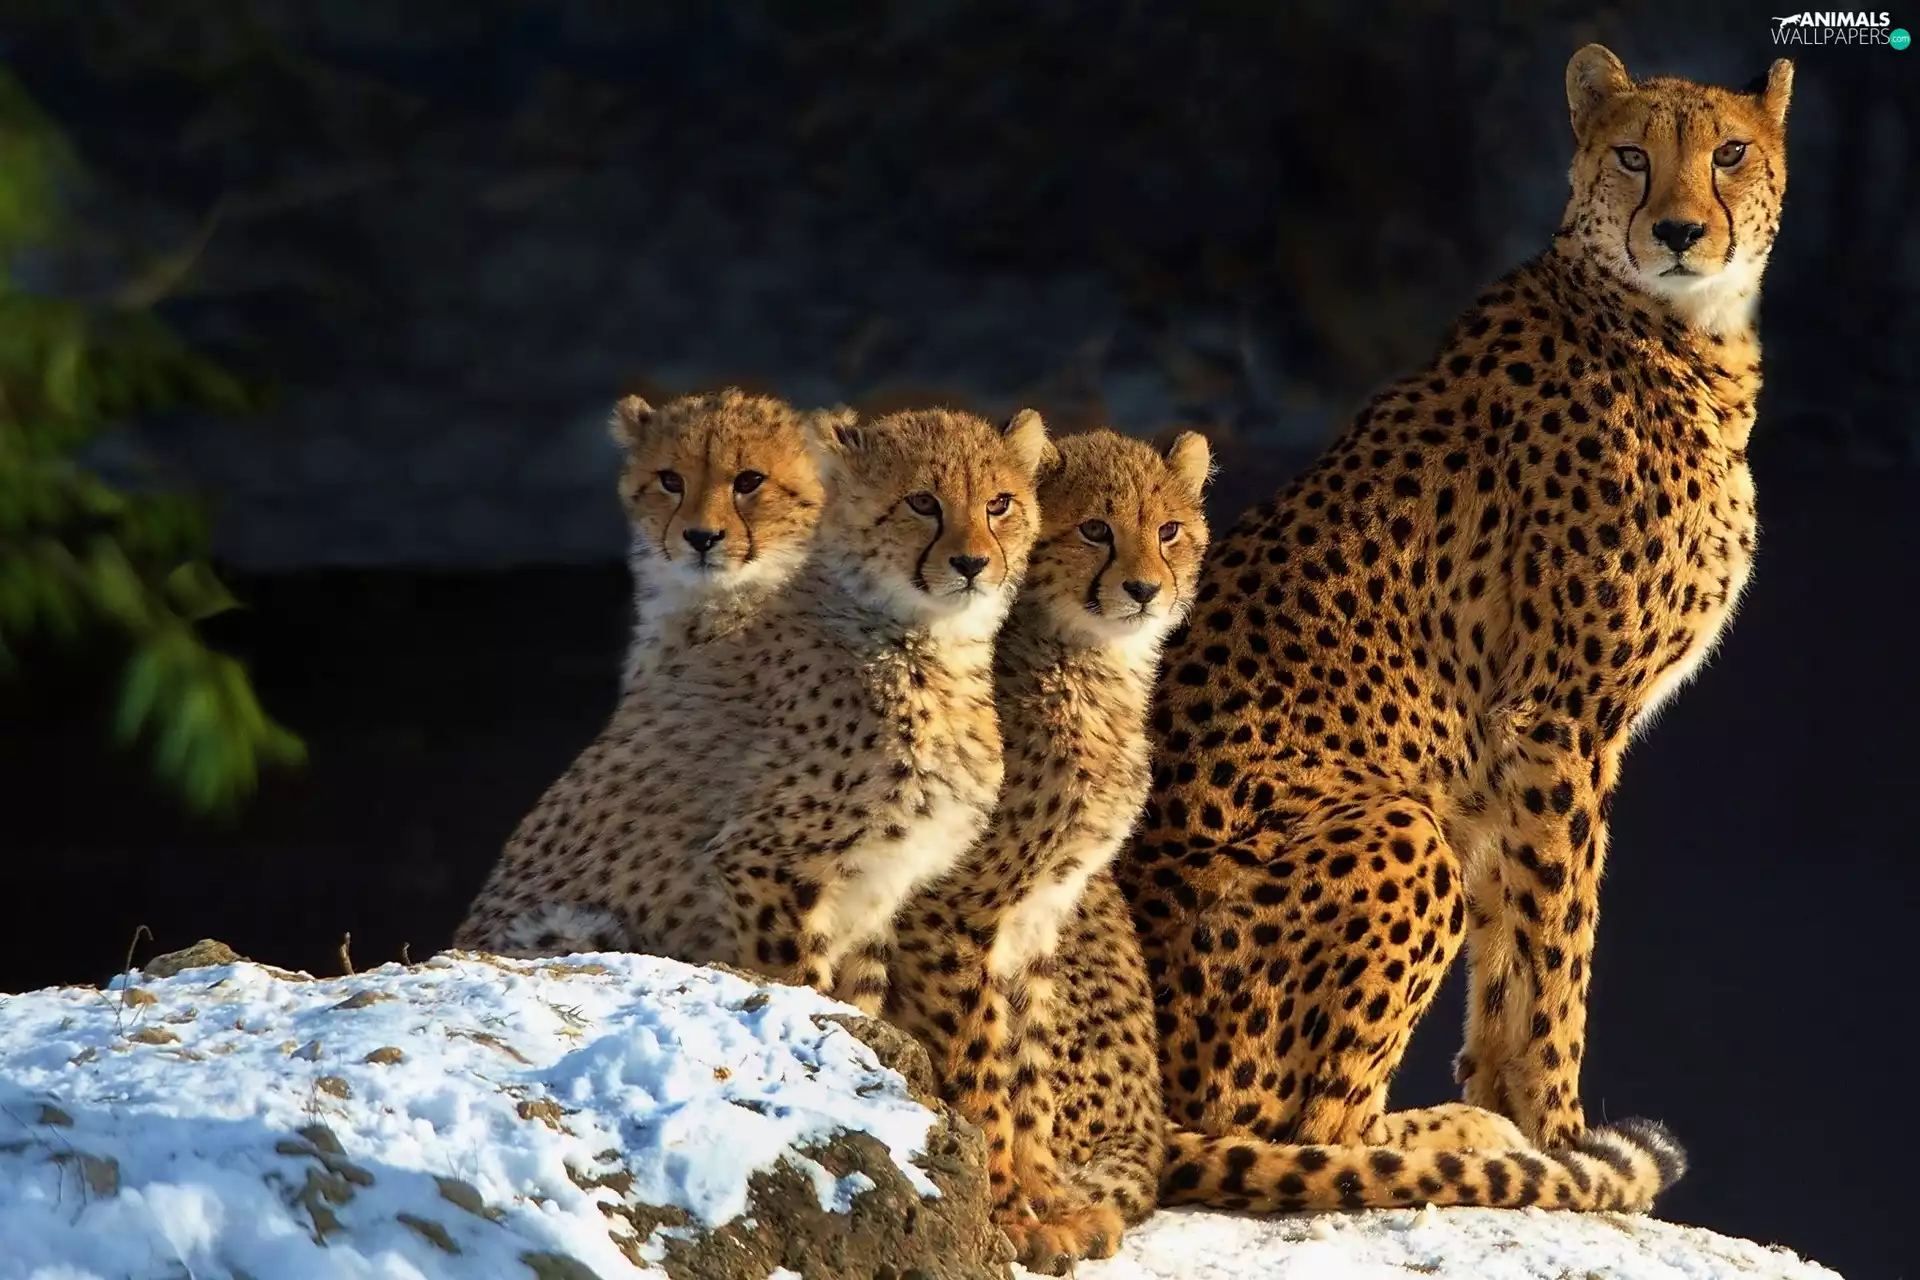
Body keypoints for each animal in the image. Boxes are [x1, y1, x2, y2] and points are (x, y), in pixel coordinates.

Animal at [887, 428, 1211, 1272]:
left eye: (1168, 529)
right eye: (1095, 528)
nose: (1144, 589)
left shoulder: (1037, 920)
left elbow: (1025, 1074)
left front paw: (1048, 1202)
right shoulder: (946, 917)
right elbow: (980, 1071)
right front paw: (1008, 1213)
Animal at [1114, 43, 1793, 1213]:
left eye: (1732, 153)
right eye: (1632, 153)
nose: (1675, 231)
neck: (1677, 329)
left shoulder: (1518, 761)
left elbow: (1512, 951)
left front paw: (1519, 1103)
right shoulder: (1559, 720)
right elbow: (1560, 943)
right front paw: (1557, 1131)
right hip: (1396, 821)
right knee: (1303, 1127)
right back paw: (1460, 1136)